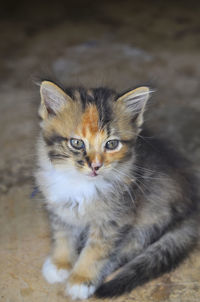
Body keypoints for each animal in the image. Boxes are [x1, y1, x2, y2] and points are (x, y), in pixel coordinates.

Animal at [35, 81, 199, 300]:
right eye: (77, 143)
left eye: (111, 144)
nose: (95, 166)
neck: (81, 184)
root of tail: (192, 208)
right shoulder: (60, 207)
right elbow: (63, 234)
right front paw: (60, 263)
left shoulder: (115, 219)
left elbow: (96, 251)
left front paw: (81, 279)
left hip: (149, 220)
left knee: (125, 253)